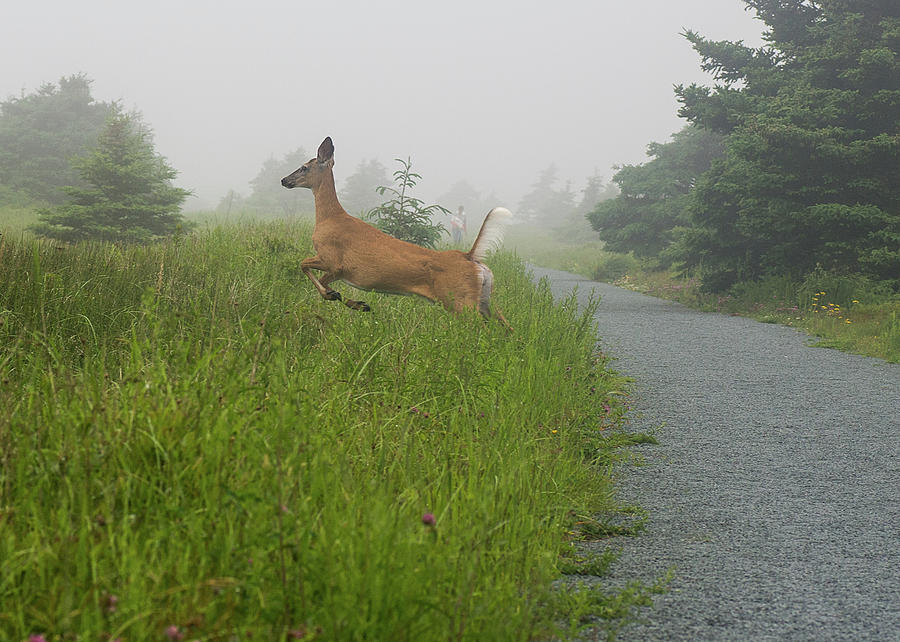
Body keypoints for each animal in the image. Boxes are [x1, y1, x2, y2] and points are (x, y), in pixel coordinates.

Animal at [284, 137, 516, 328]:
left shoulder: (333, 260)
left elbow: (307, 269)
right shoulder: (335, 268)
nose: (284, 180)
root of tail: (470, 256)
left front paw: (348, 300)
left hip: (460, 301)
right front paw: (357, 302)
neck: (329, 218)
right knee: (508, 327)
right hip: (485, 300)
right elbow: (317, 278)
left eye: (304, 167)